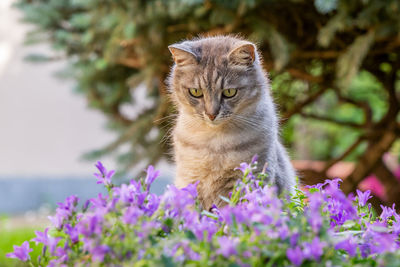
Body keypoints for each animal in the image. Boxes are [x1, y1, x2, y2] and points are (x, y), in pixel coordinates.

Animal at [166, 36, 296, 211]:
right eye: (195, 92)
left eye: (229, 92)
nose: (211, 114)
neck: (213, 143)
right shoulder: (190, 180)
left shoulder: (247, 178)